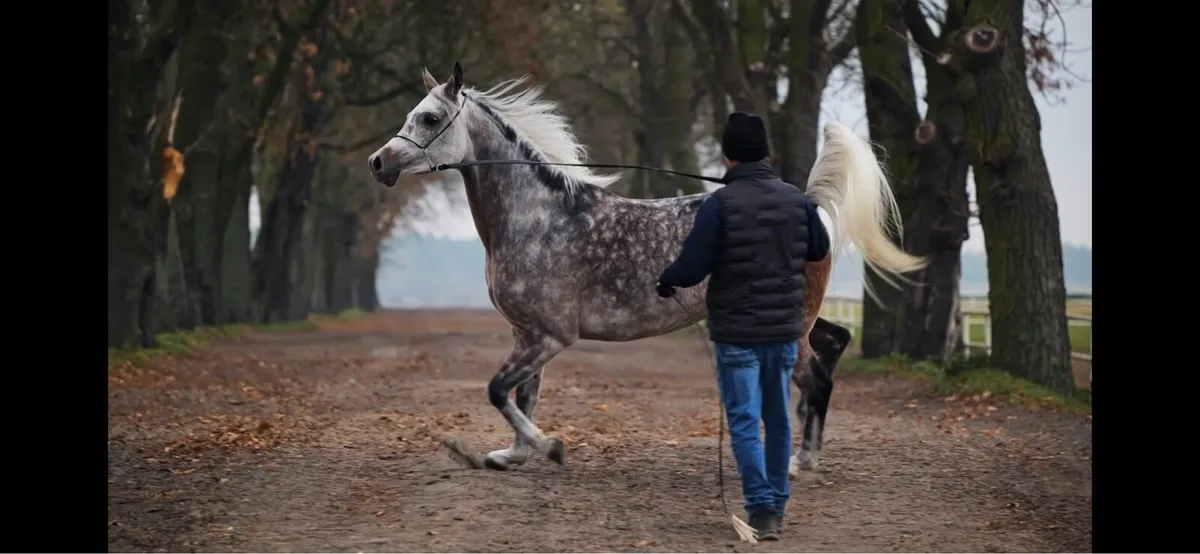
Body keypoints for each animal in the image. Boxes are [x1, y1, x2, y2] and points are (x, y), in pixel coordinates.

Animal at [366, 63, 927, 475]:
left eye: (430, 118)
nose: (379, 162)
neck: (540, 219)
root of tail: (806, 204)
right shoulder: (527, 333)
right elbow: (523, 396)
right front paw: (512, 454)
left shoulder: (549, 335)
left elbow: (499, 391)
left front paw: (549, 447)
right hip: (795, 318)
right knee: (833, 346)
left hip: (788, 322)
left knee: (817, 378)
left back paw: (799, 461)